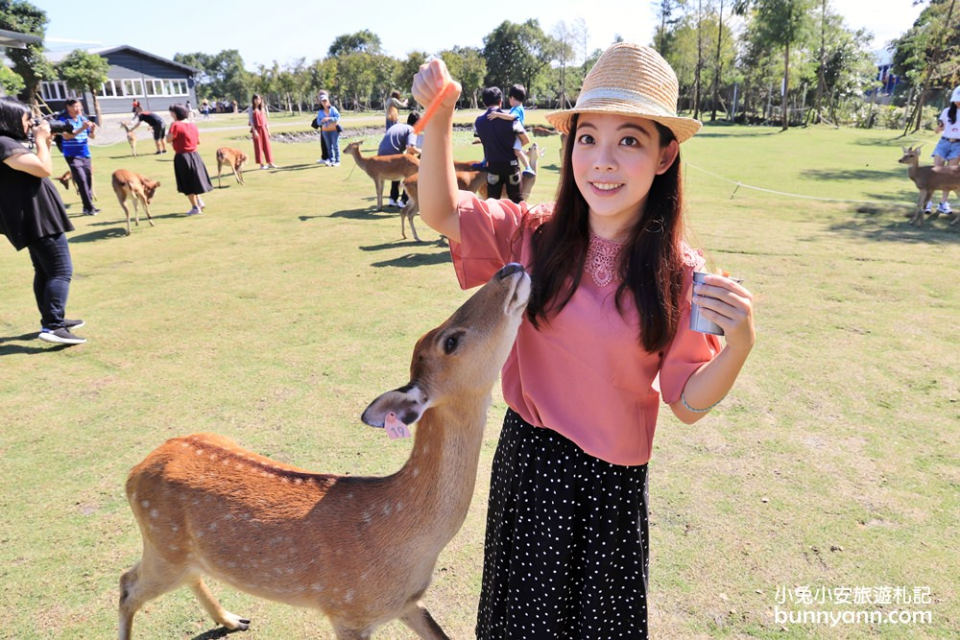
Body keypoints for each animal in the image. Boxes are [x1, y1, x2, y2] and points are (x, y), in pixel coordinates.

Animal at [118, 264, 532, 640]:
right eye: (450, 341)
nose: (510, 267)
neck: (406, 542)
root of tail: (135, 472)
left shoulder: (408, 602)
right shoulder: (349, 611)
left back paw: (234, 620)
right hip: (163, 545)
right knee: (126, 584)